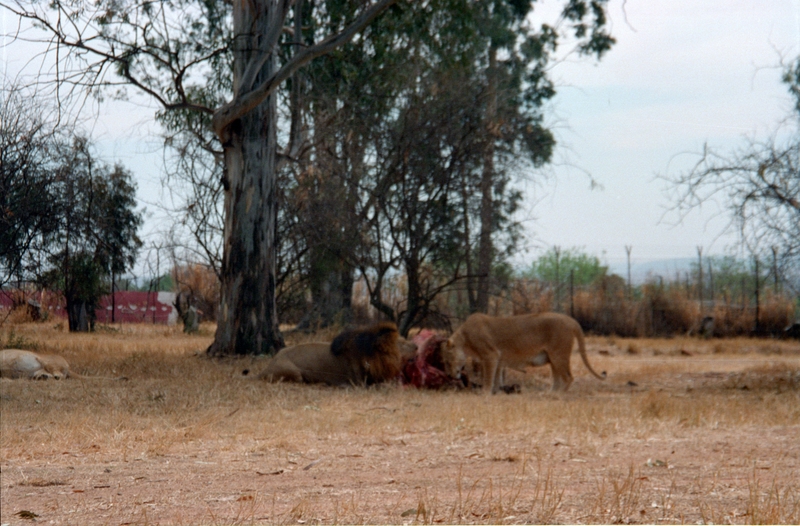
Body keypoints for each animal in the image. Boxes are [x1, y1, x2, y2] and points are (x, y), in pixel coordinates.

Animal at [440, 312, 604, 394]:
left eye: (447, 362)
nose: (448, 375)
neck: (465, 340)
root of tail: (571, 320)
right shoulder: (498, 358)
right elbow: (497, 377)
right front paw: (496, 392)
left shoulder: (490, 354)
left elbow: (488, 377)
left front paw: (485, 392)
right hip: (553, 358)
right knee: (558, 378)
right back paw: (549, 393)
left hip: (559, 354)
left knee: (568, 377)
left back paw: (558, 396)